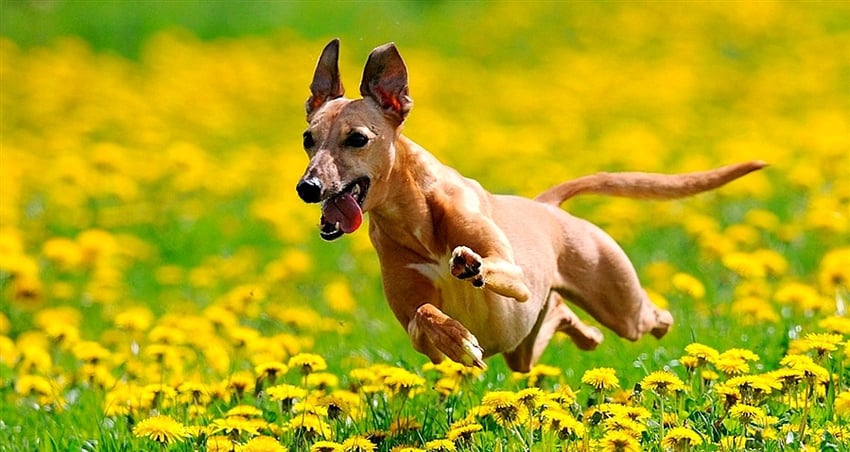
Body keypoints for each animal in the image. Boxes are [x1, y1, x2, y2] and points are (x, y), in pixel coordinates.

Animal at [294, 38, 764, 370]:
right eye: (307, 138)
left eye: (357, 138)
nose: (308, 187)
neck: (415, 218)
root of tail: (547, 206)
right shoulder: (413, 325)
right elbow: (426, 315)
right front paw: (460, 341)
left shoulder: (514, 274)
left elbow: (491, 266)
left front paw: (470, 266)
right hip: (524, 347)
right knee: (561, 320)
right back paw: (583, 333)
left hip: (623, 308)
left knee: (653, 317)